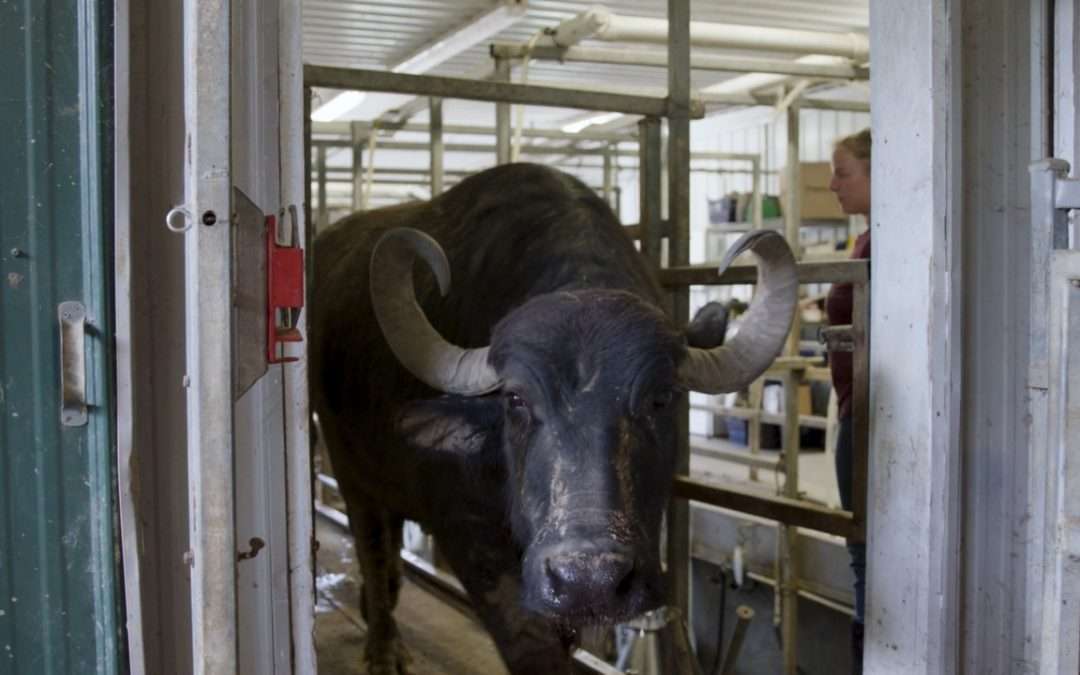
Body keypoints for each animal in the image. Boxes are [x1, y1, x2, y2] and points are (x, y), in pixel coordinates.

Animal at [308, 160, 799, 669]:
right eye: (516, 400)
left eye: (662, 397)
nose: (589, 580)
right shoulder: (471, 535)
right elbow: (530, 639)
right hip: (349, 468)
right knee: (373, 545)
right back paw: (383, 646)